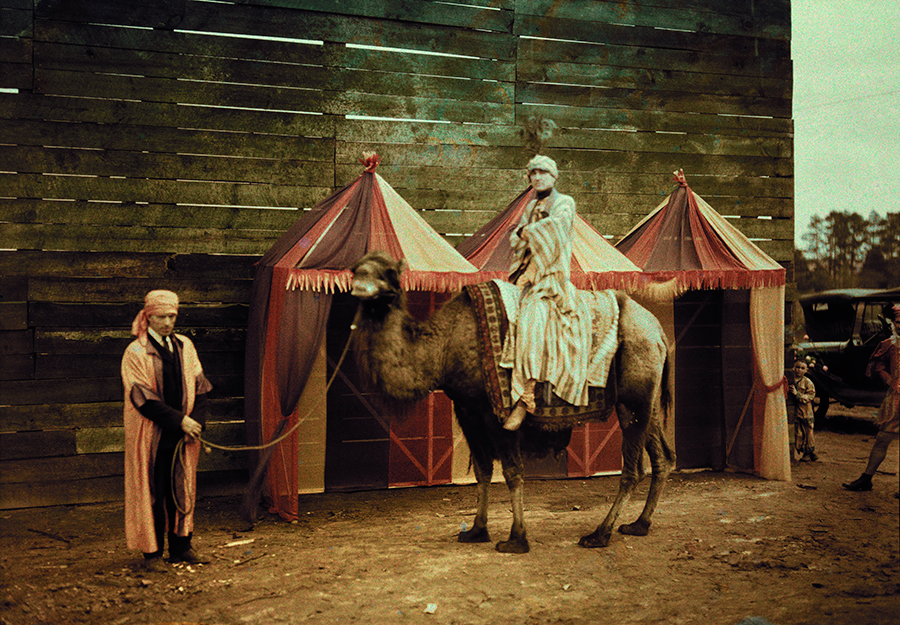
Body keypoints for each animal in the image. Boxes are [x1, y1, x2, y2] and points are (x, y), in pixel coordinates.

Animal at [348, 249, 672, 552]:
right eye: (356, 268)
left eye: (388, 272)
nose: (360, 286)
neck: (443, 348)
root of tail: (658, 331)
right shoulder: (466, 409)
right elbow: (483, 470)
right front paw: (476, 530)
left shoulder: (496, 412)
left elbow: (512, 471)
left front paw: (516, 539)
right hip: (648, 402)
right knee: (662, 457)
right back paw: (639, 524)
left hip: (634, 396)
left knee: (632, 469)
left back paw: (599, 534)